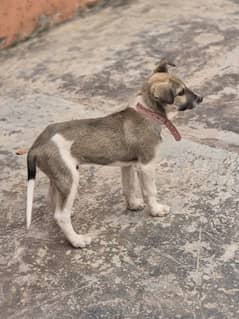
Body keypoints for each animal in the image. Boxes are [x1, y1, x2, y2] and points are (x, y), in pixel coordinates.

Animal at [25, 60, 202, 250]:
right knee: (61, 215)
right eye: (180, 92)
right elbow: (150, 191)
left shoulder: (128, 165)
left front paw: (133, 205)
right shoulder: (146, 165)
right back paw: (77, 240)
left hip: (58, 178)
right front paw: (156, 210)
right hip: (69, 178)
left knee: (54, 205)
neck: (147, 111)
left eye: (185, 86)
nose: (201, 98)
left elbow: (129, 187)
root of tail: (36, 145)